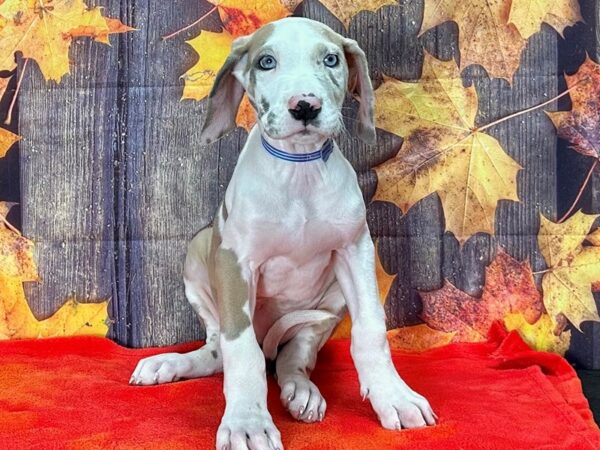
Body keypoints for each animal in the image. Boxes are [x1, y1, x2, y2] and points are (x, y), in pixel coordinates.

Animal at [131, 16, 438, 450]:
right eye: (266, 62)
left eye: (331, 59)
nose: (305, 105)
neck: (299, 171)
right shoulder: (235, 263)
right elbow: (241, 353)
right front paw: (247, 422)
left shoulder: (356, 250)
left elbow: (371, 330)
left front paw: (393, 395)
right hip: (200, 250)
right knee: (218, 352)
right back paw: (171, 362)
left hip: (326, 305)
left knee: (294, 358)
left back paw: (302, 391)